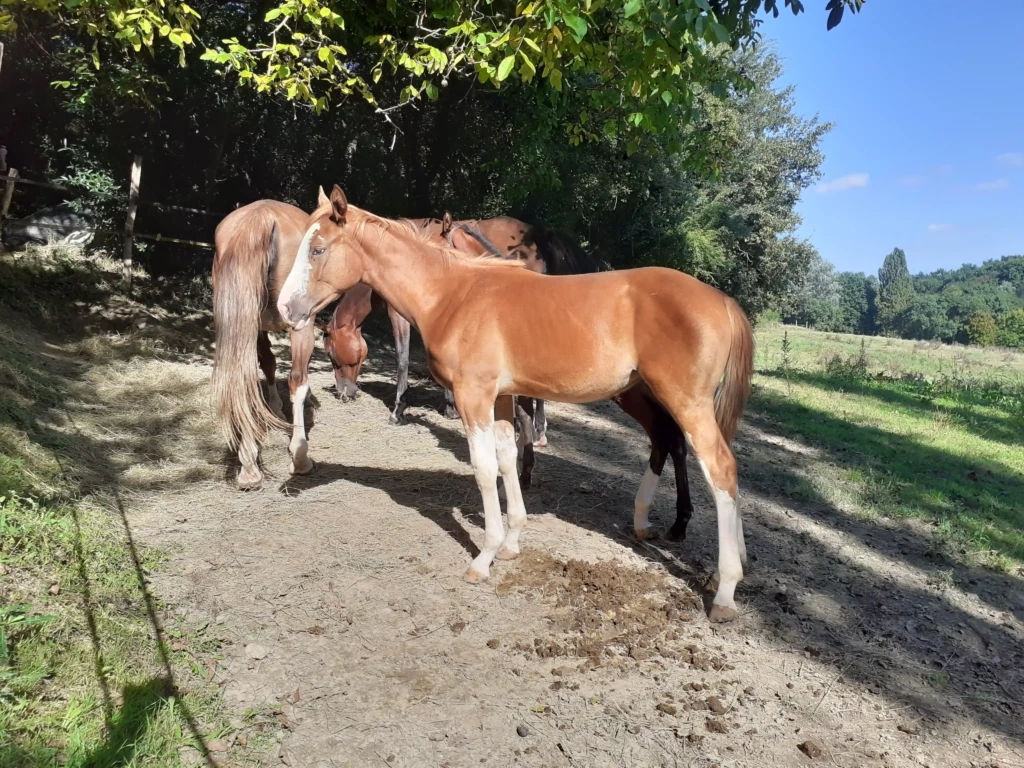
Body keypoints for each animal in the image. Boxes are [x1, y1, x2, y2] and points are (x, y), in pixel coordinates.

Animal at [211, 200, 319, 490]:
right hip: (300, 327)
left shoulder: (257, 328)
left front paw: (274, 408)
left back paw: (249, 466)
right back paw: (300, 458)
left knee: (242, 379)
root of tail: (262, 217)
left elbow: (267, 364)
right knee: (297, 380)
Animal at [278, 187, 754, 623]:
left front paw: (483, 558)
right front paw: (511, 544)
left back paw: (725, 591)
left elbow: (484, 469)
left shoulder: (474, 396)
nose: (285, 308)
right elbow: (508, 460)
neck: (453, 295)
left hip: (684, 401)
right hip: (646, 394)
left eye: (318, 248)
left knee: (719, 468)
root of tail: (723, 301)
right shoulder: (503, 398)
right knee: (677, 447)